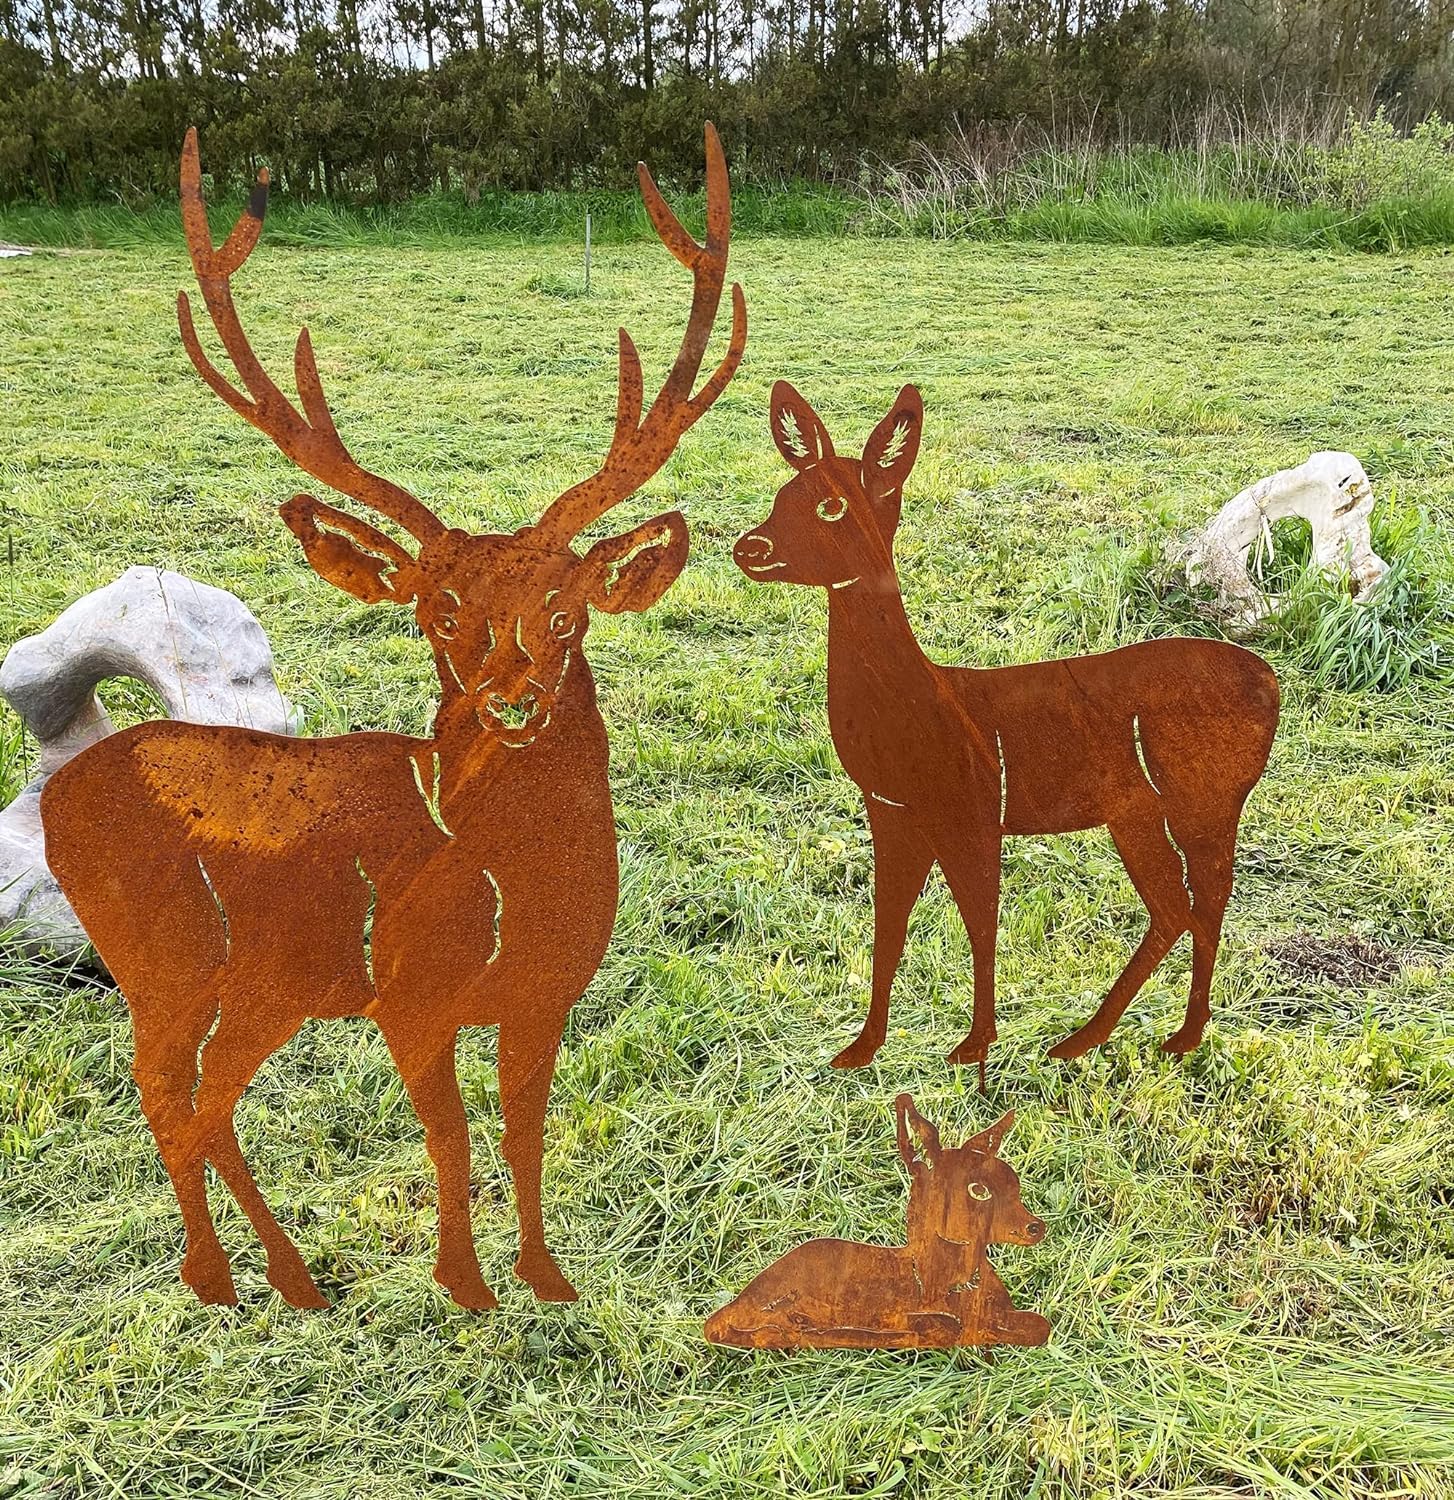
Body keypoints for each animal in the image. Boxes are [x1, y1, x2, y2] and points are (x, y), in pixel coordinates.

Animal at [39, 125, 745, 1311]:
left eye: (565, 610)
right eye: (437, 610)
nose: (512, 699)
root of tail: (56, 792)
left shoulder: (544, 999)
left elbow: (523, 1137)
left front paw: (547, 1280)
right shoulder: (411, 999)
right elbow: (452, 1141)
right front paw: (465, 1286)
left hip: (259, 982)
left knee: (206, 1098)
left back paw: (288, 1278)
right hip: (164, 954)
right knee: (164, 1091)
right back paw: (223, 1278)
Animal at [733, 382, 1280, 1085]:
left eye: (832, 505)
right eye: (782, 494)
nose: (750, 548)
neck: (921, 704)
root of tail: (1271, 684)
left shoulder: (970, 809)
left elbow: (979, 923)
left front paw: (974, 1047)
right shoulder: (892, 811)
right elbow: (889, 925)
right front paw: (861, 1048)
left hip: (1205, 796)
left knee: (1204, 903)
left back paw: (1166, 1037)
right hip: (1136, 811)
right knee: (1175, 908)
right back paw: (1094, 1039)